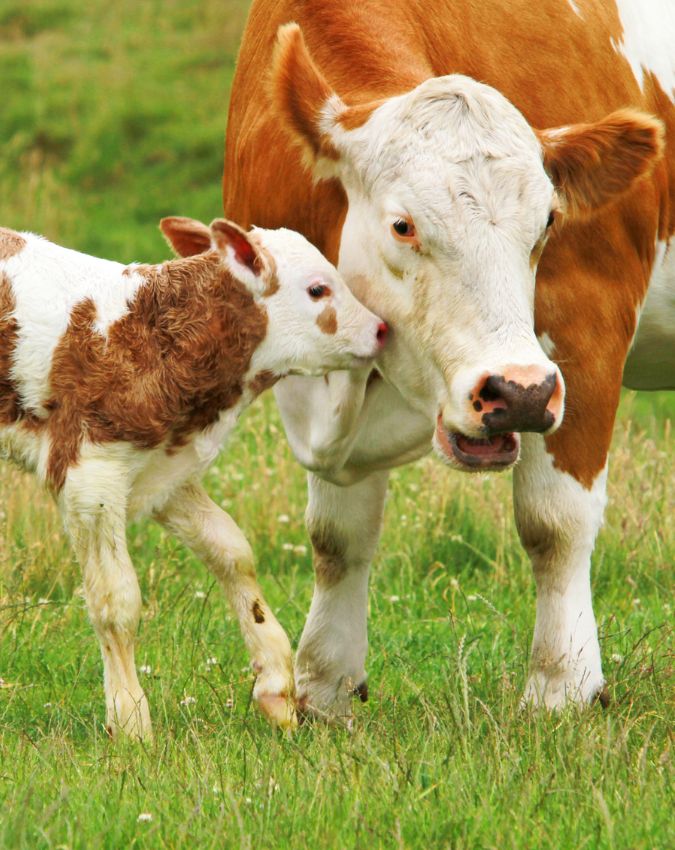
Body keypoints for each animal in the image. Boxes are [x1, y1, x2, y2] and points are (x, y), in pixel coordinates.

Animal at [0, 217, 386, 737]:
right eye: (318, 289)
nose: (381, 329)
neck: (147, 334)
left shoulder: (166, 468)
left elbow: (232, 551)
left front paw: (275, 685)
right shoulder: (89, 474)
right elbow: (115, 600)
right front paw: (130, 721)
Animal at [221, 0, 674, 719]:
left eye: (548, 222)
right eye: (402, 225)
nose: (516, 393)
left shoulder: (585, 328)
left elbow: (555, 521)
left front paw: (561, 688)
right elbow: (336, 536)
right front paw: (326, 686)